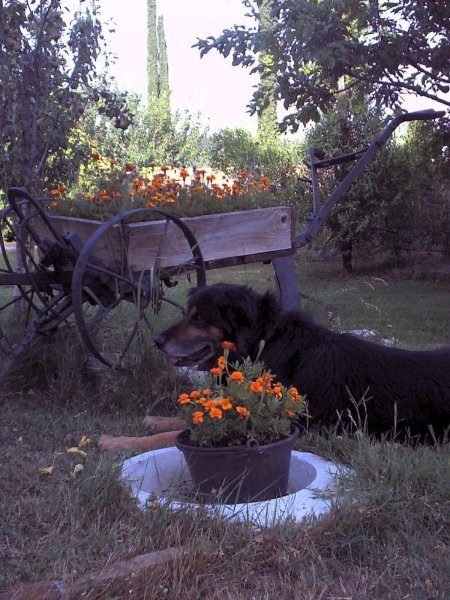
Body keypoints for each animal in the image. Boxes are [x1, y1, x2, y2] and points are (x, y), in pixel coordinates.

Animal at [99, 282, 450, 450]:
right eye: (186, 313)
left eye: (198, 318)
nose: (157, 341)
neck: (264, 341)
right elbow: (178, 420)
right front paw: (152, 420)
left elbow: (176, 434)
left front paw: (117, 441)